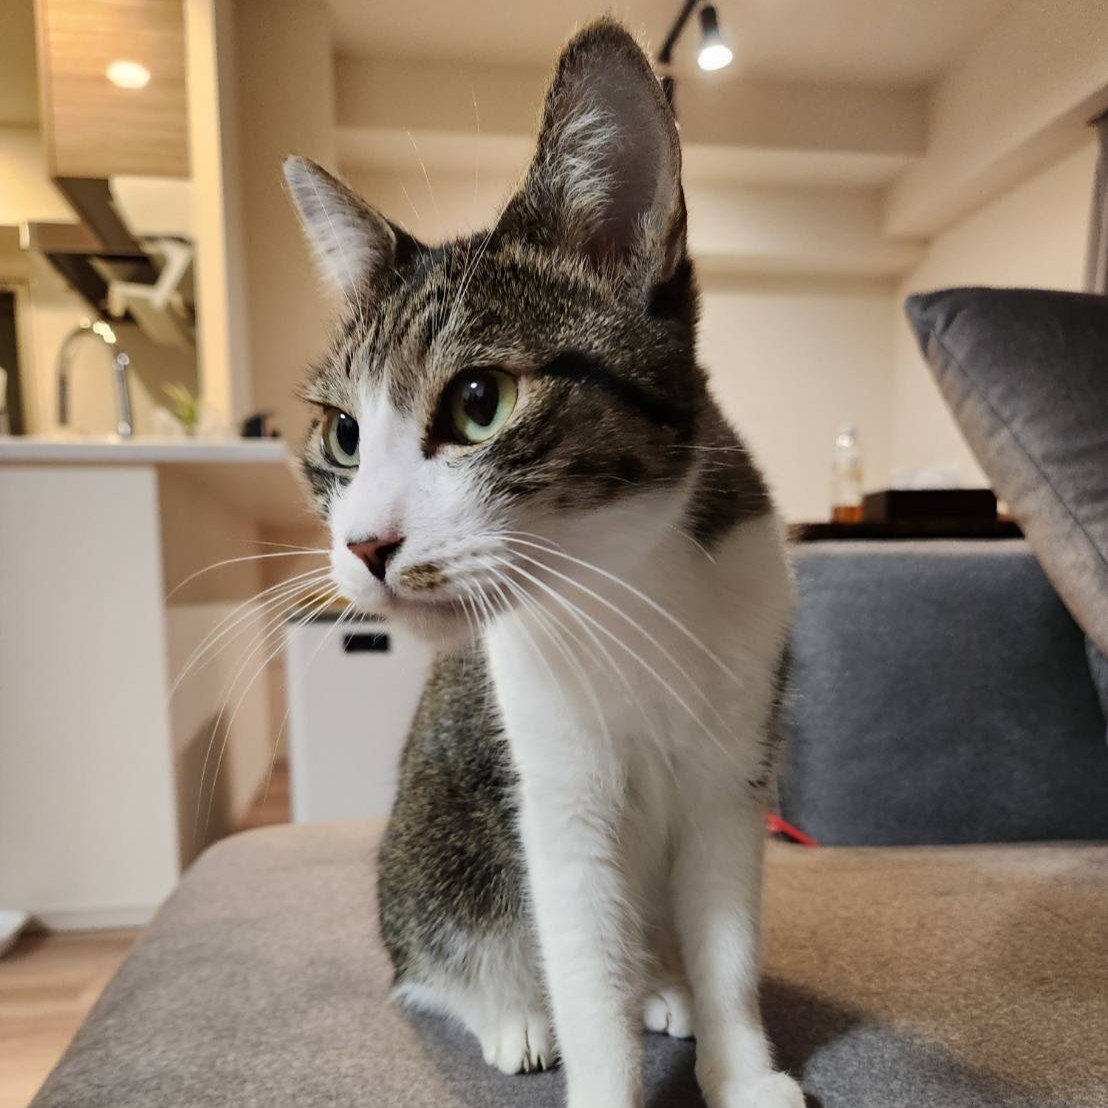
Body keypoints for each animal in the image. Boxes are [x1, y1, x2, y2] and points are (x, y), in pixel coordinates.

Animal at [284, 19, 803, 1108]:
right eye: (344, 435)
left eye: (480, 401)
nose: (365, 545)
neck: (631, 585)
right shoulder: (555, 787)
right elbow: (580, 954)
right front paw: (601, 1065)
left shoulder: (734, 767)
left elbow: (727, 935)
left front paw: (740, 1068)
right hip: (431, 852)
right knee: (434, 961)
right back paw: (511, 1011)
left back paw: (664, 986)